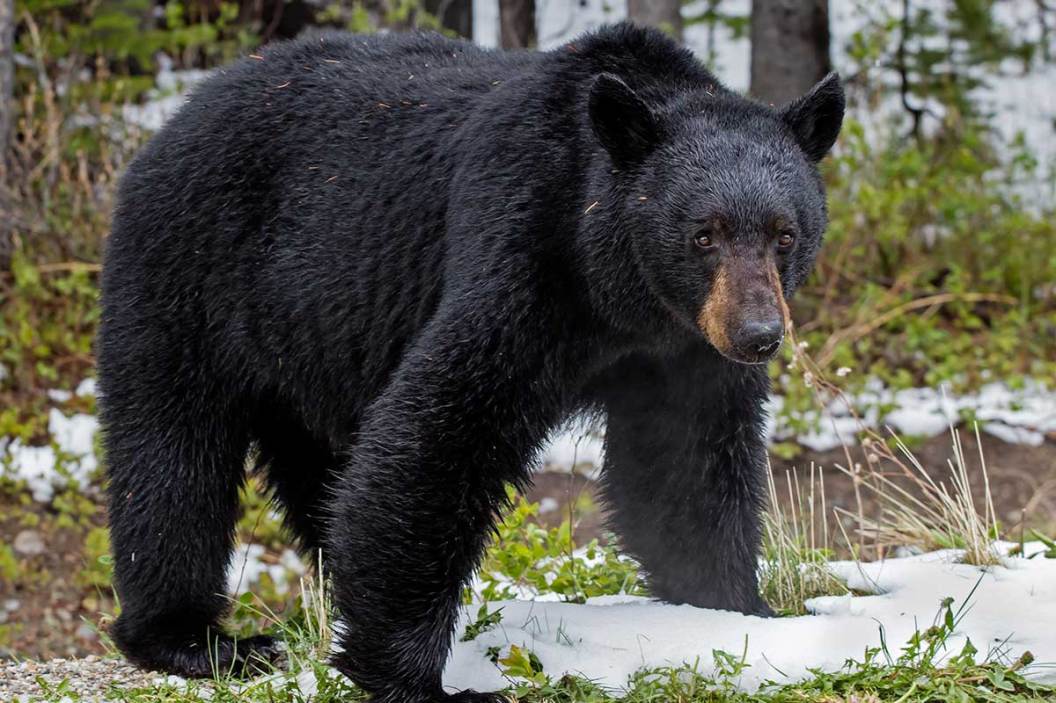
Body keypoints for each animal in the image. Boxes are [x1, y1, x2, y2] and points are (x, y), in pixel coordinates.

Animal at [99, 21, 840, 700]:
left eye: (785, 233)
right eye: (702, 234)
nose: (757, 334)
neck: (621, 295)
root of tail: (179, 114)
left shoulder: (682, 353)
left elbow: (688, 467)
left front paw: (737, 611)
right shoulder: (522, 255)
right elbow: (439, 434)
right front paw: (417, 677)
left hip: (311, 343)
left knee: (322, 466)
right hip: (188, 270)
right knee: (171, 455)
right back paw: (194, 638)